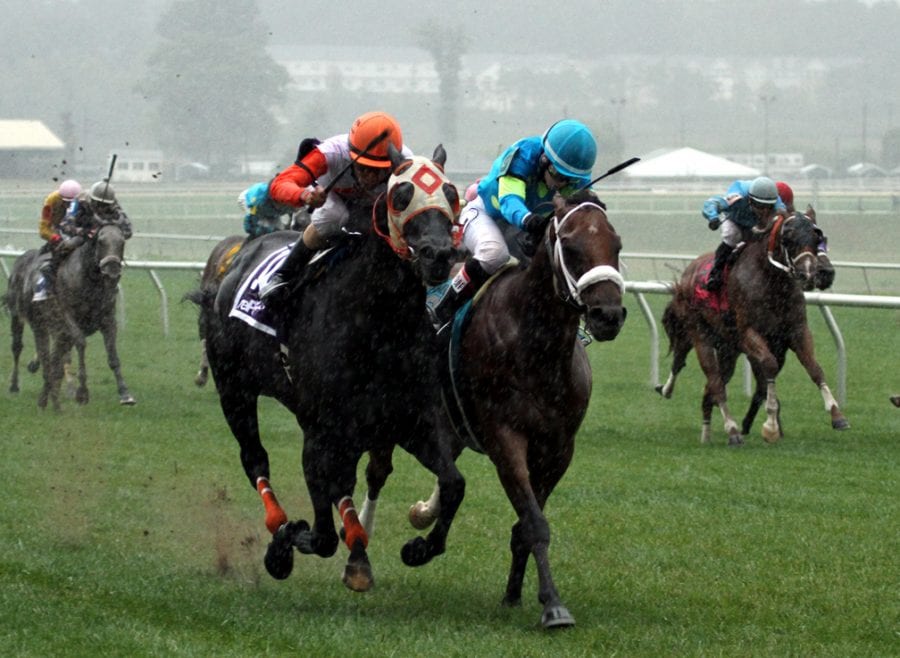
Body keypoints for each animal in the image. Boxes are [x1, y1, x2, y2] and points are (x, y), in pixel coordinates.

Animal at [5, 218, 134, 408]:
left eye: (122, 242)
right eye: (101, 241)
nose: (112, 271)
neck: (90, 283)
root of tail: (23, 258)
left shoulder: (108, 320)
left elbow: (113, 357)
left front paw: (125, 393)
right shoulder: (68, 317)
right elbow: (79, 344)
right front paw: (82, 392)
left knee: (53, 356)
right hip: (21, 317)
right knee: (18, 347)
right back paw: (15, 385)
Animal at [656, 210, 848, 444]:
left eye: (817, 236)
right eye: (788, 238)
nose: (810, 273)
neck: (772, 282)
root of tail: (688, 274)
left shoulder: (796, 332)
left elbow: (814, 368)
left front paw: (837, 415)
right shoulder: (750, 333)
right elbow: (769, 368)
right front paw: (771, 426)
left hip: (728, 349)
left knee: (710, 386)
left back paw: (707, 432)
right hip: (700, 335)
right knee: (712, 381)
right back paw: (730, 429)